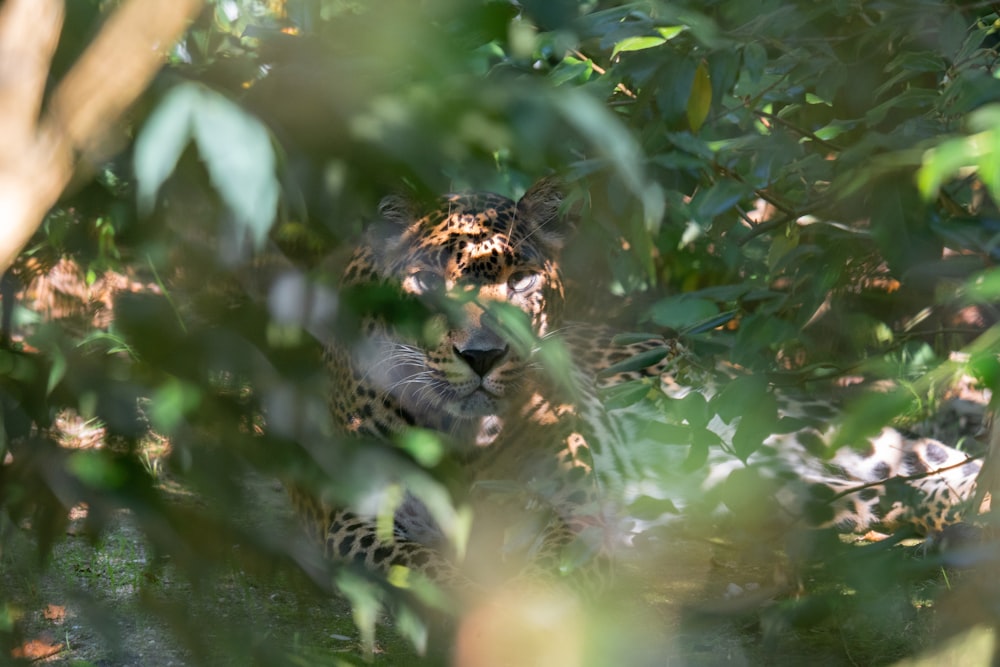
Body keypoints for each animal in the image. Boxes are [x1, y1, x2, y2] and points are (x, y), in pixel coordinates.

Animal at [288, 176, 984, 600]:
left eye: (521, 280)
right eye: (430, 281)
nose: (482, 356)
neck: (465, 438)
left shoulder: (574, 504)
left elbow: (559, 555)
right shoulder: (349, 519)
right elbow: (419, 564)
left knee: (920, 464)